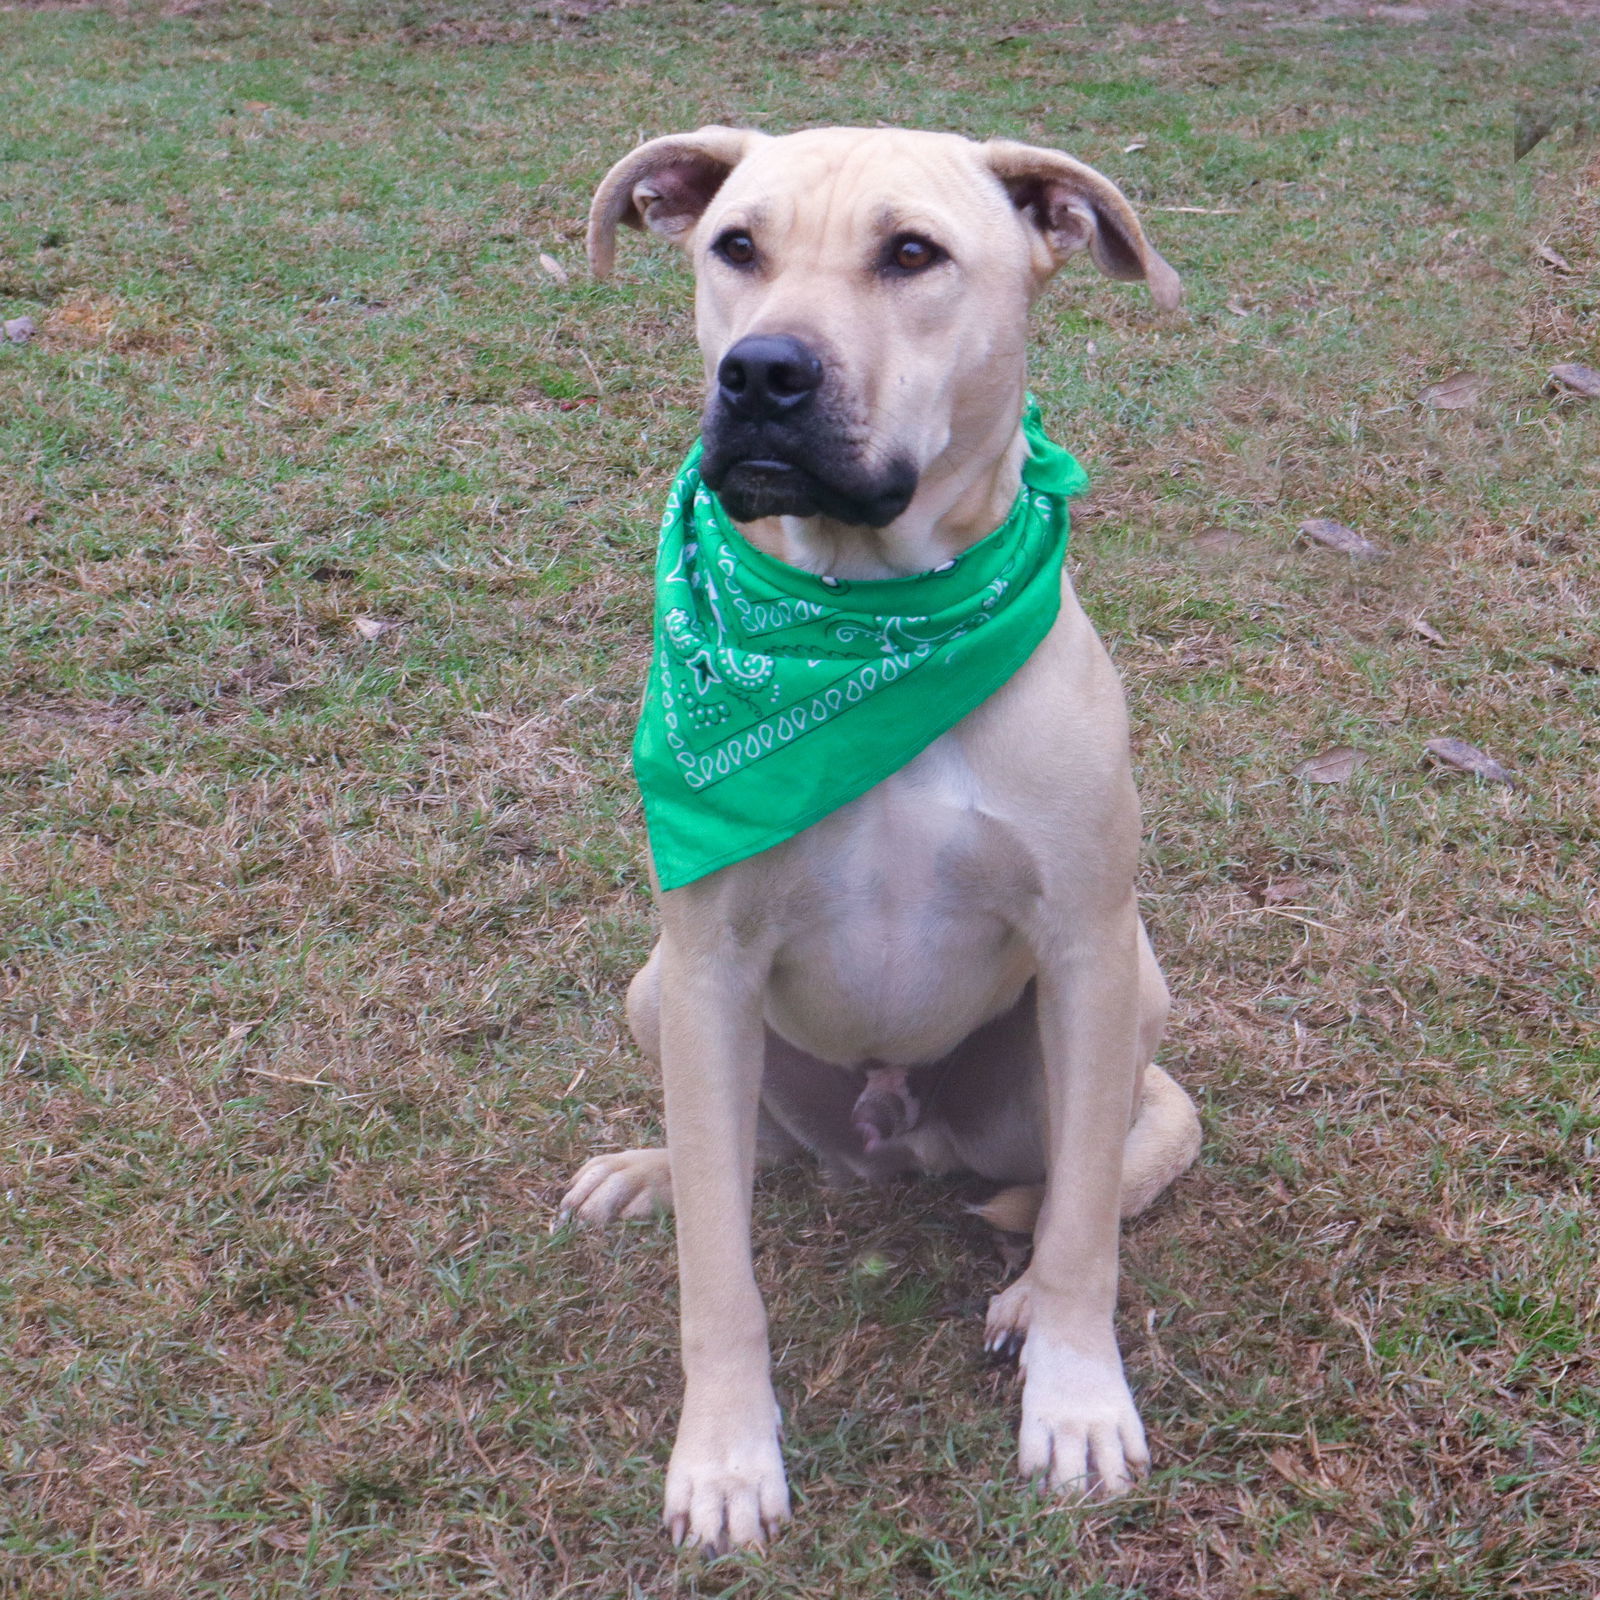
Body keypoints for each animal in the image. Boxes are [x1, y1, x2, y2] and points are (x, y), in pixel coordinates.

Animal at [563, 128, 1203, 1561]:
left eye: (913, 253)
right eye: (734, 246)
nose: (760, 373)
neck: (869, 616)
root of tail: (891, 1133)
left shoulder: (1087, 951)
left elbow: (1084, 1229)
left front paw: (1076, 1397)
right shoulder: (708, 969)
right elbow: (717, 1273)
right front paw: (724, 1453)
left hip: (1122, 1004)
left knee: (1082, 1182)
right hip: (658, 995)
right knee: (739, 1157)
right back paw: (649, 1169)